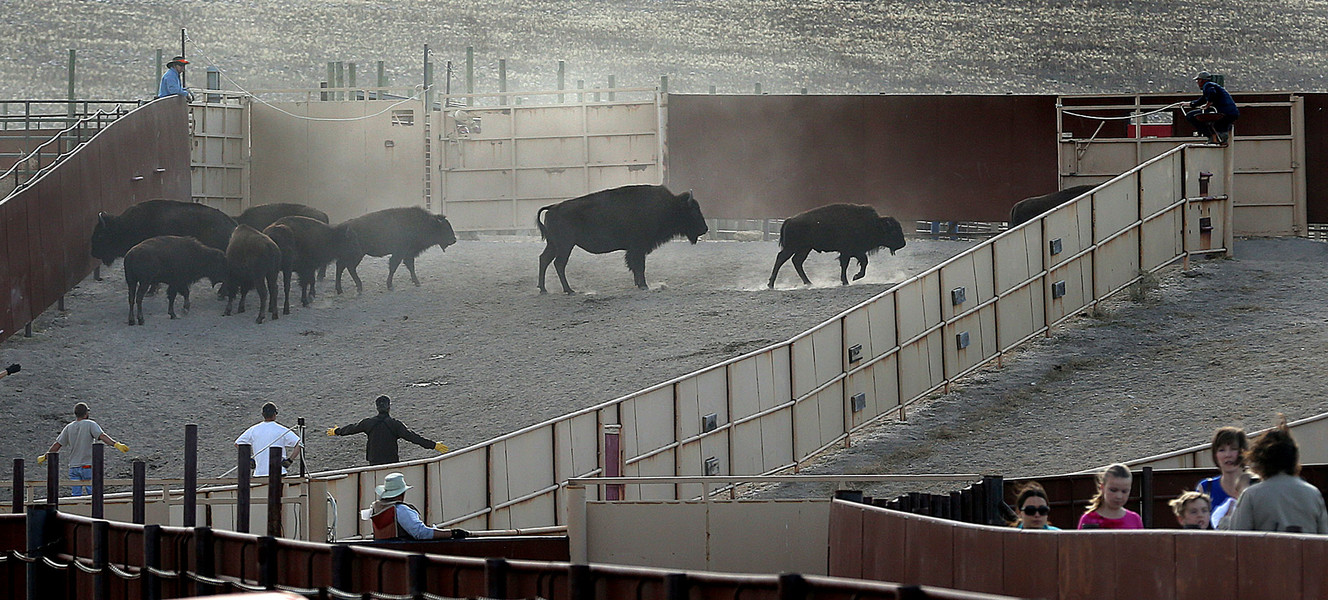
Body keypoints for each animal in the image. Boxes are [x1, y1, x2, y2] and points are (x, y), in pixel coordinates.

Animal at [537, 184, 708, 294]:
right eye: (693, 211)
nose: (705, 229)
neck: (670, 206)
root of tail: (552, 208)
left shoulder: (635, 249)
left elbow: (636, 266)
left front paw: (639, 284)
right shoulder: (638, 248)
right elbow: (639, 266)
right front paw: (644, 286)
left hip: (554, 245)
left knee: (544, 259)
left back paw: (543, 289)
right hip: (565, 246)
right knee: (559, 263)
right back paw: (569, 290)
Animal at [768, 204, 906, 288]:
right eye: (893, 231)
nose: (903, 244)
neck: (875, 224)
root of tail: (789, 220)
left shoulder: (855, 252)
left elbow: (862, 263)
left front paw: (852, 278)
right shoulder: (849, 251)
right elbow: (849, 264)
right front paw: (849, 280)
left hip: (805, 248)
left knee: (797, 261)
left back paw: (809, 283)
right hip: (792, 247)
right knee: (781, 259)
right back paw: (771, 284)